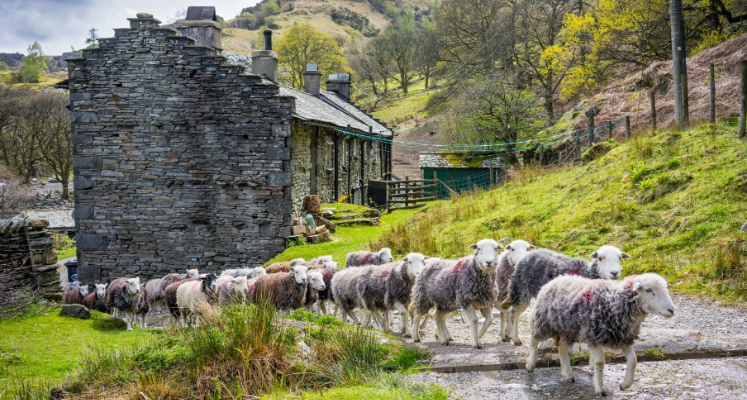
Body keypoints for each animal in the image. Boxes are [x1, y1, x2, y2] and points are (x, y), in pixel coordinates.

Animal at [502, 245, 632, 346]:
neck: (588, 273)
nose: (614, 273)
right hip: (521, 288)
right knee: (515, 312)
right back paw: (515, 338)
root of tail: (527, 254)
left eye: (620, 258)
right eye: (600, 258)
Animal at [524, 274, 676, 396]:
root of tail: (557, 279)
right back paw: (530, 365)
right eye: (648, 290)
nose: (671, 310)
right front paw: (600, 388)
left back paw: (568, 374)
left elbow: (633, 360)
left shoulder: (622, 338)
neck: (613, 303)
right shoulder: (594, 337)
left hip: (569, 329)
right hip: (544, 322)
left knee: (562, 347)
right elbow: (600, 363)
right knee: (533, 340)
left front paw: (624, 384)